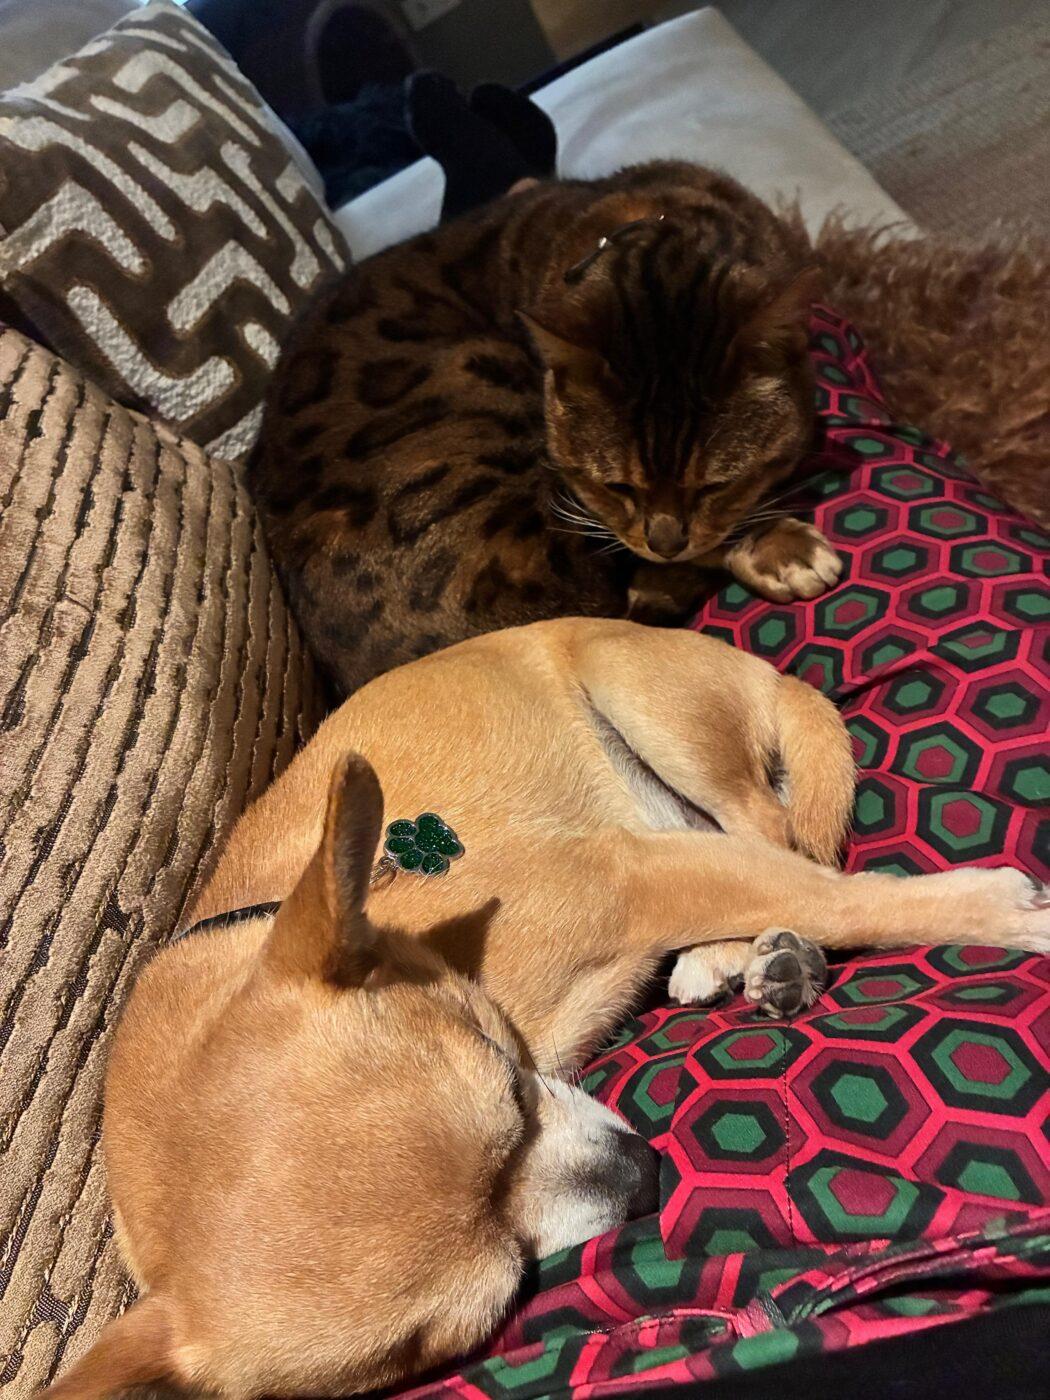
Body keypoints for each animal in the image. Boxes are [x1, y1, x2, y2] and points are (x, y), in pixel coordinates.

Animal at [45, 618, 1049, 1399]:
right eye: (474, 1319)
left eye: (506, 1076)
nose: (646, 1176)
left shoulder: (628, 876)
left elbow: (845, 899)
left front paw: (1001, 915)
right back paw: (744, 953)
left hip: (645, 703)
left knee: (776, 833)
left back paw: (748, 948)